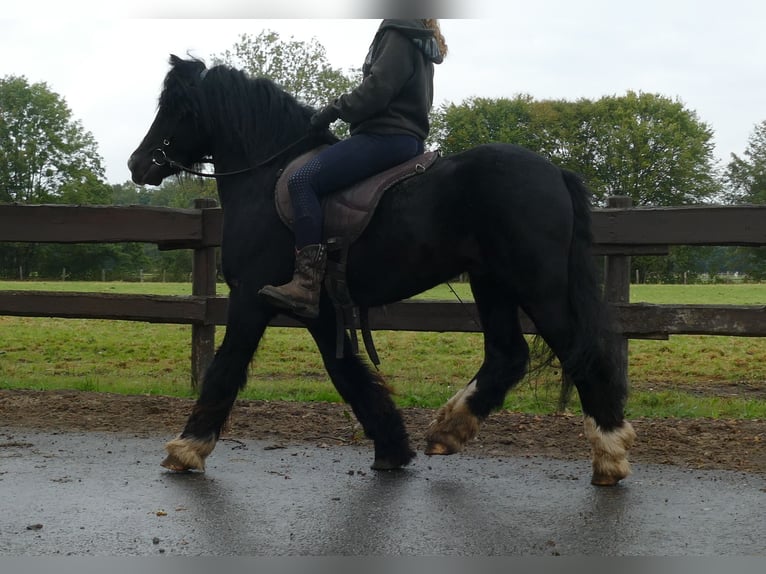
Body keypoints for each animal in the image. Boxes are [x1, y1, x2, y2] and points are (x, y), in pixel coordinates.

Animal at [129, 55, 640, 486]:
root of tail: (555, 173)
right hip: (491, 283)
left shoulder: (250, 298)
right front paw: (393, 448)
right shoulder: (320, 311)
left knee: (582, 352)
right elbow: (348, 373)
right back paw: (448, 430)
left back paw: (609, 454)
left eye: (174, 107)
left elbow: (226, 366)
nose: (137, 163)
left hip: (538, 287)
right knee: (508, 355)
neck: (268, 177)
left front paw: (187, 448)